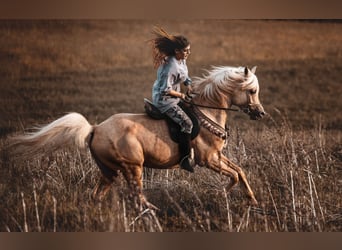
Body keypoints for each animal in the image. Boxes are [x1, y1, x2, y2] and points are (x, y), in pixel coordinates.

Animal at [10, 65, 266, 208]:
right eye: (252, 91)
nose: (260, 113)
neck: (207, 112)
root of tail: (95, 129)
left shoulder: (217, 156)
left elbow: (240, 171)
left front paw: (252, 200)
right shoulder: (208, 160)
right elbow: (234, 175)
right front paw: (225, 192)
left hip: (109, 172)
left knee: (97, 195)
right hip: (133, 168)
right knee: (136, 196)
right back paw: (150, 214)